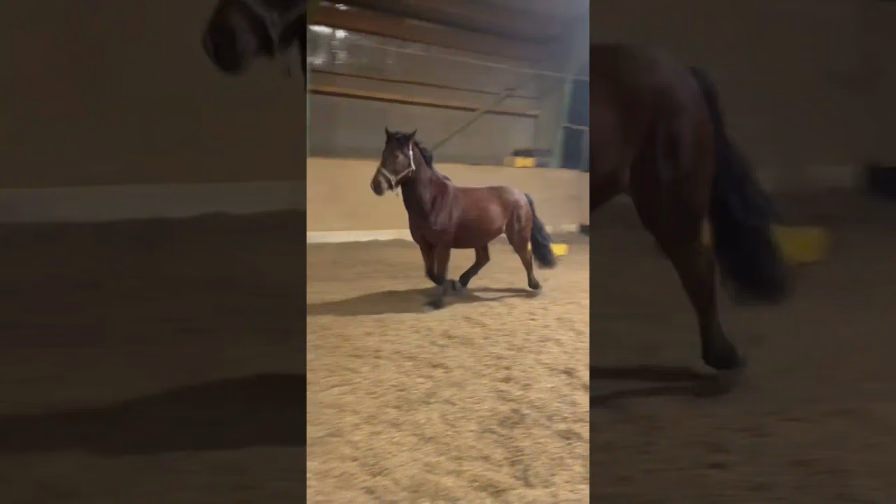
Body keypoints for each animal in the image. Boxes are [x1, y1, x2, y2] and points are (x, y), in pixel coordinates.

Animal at [371, 129, 558, 310]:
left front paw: (438, 302)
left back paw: (535, 285)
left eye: (396, 155)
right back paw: (461, 282)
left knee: (525, 255)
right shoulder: (424, 244)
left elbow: (441, 273)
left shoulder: (443, 245)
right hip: (480, 237)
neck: (433, 200)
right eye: (383, 153)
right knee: (483, 259)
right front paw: (451, 285)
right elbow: (431, 273)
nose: (376, 185)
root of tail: (521, 195)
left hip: (517, 236)